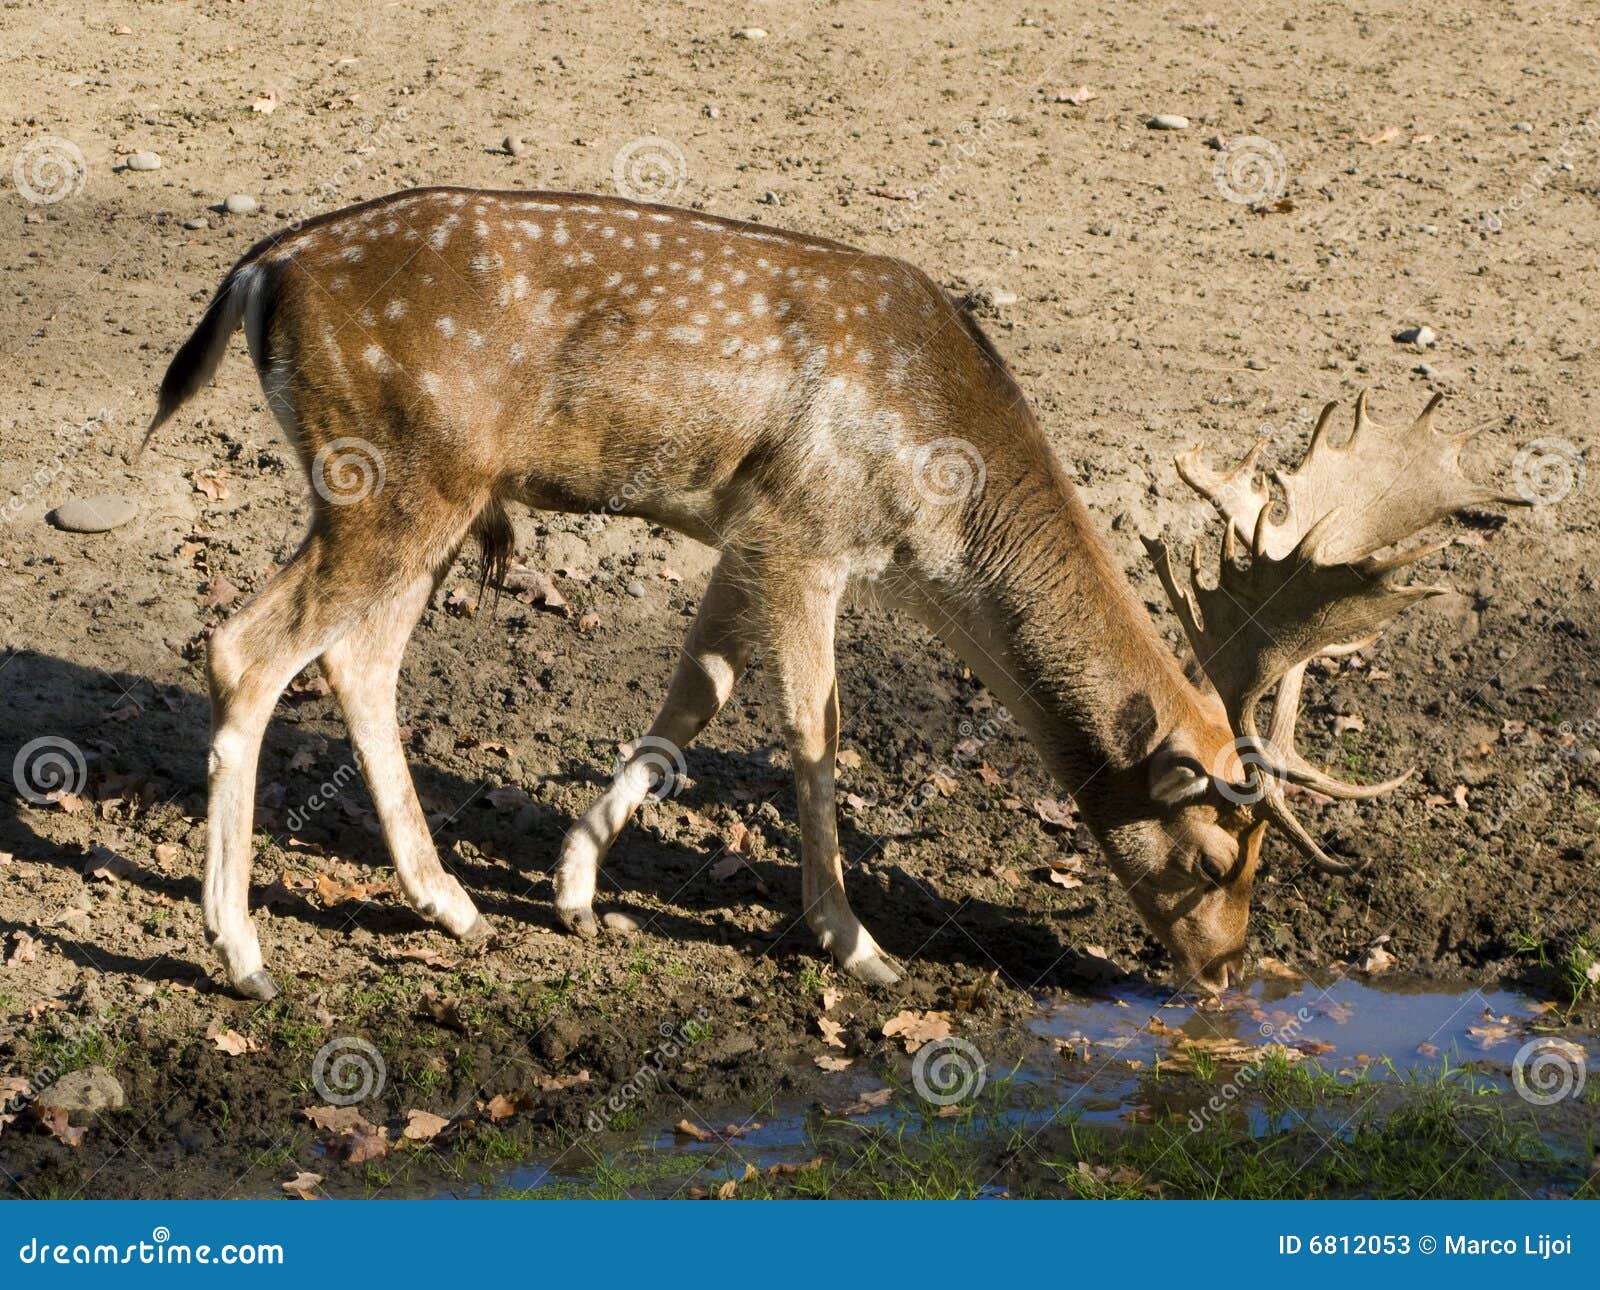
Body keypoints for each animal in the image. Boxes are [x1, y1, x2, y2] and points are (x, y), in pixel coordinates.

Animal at [142, 185, 1526, 1001]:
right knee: (246, 646)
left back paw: (455, 907)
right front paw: (856, 947)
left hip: (425, 495)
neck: (941, 519)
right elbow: (814, 732)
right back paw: (244, 955)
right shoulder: (808, 530)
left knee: (357, 660)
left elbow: (693, 696)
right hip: (391, 475)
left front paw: (580, 891)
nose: (1228, 974)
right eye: (1212, 853)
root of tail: (258, 272)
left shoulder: (743, 534)